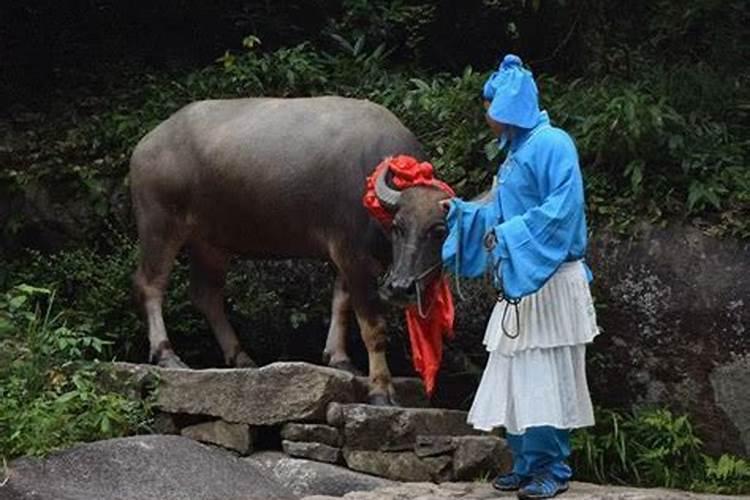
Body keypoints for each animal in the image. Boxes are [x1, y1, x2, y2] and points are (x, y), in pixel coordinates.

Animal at [129, 95, 452, 404]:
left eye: (440, 231)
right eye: (398, 226)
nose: (401, 287)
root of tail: (146, 144)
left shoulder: (343, 257)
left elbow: (340, 302)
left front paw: (339, 358)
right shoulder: (353, 255)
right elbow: (373, 327)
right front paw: (381, 389)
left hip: (210, 244)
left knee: (205, 294)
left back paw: (241, 357)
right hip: (159, 224)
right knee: (150, 284)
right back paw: (166, 354)